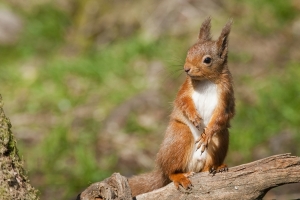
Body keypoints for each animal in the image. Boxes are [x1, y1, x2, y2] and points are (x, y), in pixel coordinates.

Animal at [127, 18, 236, 198]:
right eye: (189, 51)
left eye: (207, 60)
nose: (186, 68)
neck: (207, 81)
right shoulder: (185, 89)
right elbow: (183, 101)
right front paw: (194, 116)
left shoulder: (226, 96)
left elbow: (222, 115)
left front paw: (207, 134)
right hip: (180, 136)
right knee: (171, 172)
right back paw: (179, 176)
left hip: (221, 138)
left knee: (208, 163)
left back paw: (216, 166)